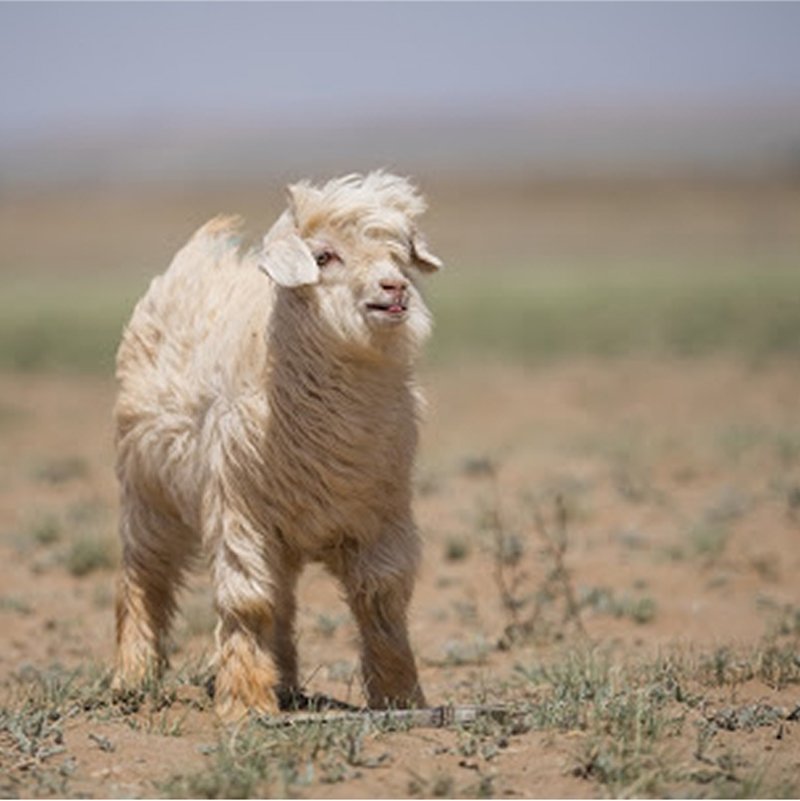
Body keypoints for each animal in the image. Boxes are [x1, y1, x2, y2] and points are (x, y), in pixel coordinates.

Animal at [112, 171, 442, 721]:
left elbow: (381, 600)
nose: (394, 289)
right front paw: (244, 703)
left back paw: (284, 681)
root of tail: (201, 255)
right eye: (324, 256)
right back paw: (132, 677)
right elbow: (247, 602)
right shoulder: (239, 513)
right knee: (143, 576)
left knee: (283, 599)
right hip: (146, 490)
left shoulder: (381, 517)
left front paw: (401, 696)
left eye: (399, 253)